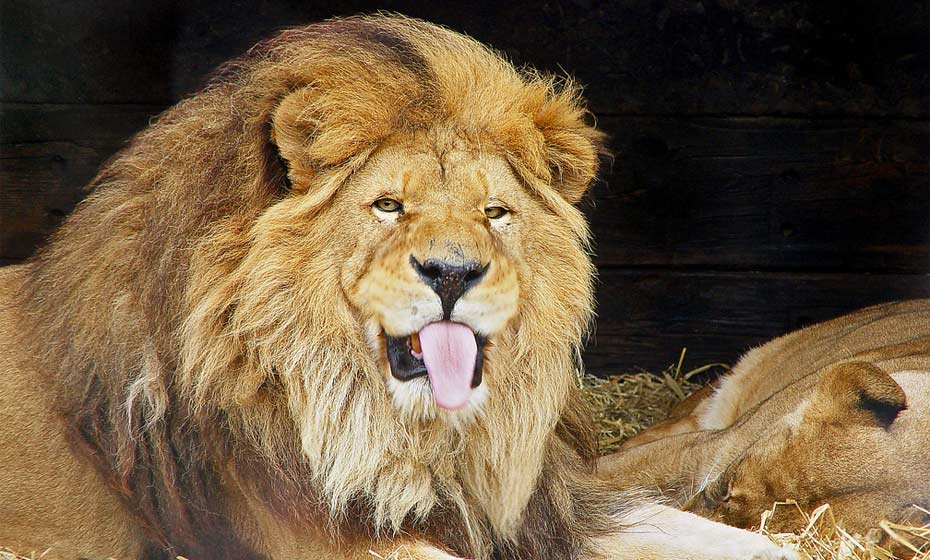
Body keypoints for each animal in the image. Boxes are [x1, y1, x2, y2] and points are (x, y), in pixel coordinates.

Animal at [0, 15, 794, 560]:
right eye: (388, 205)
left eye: (494, 213)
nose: (452, 271)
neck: (421, 437)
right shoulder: (306, 536)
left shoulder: (538, 512)